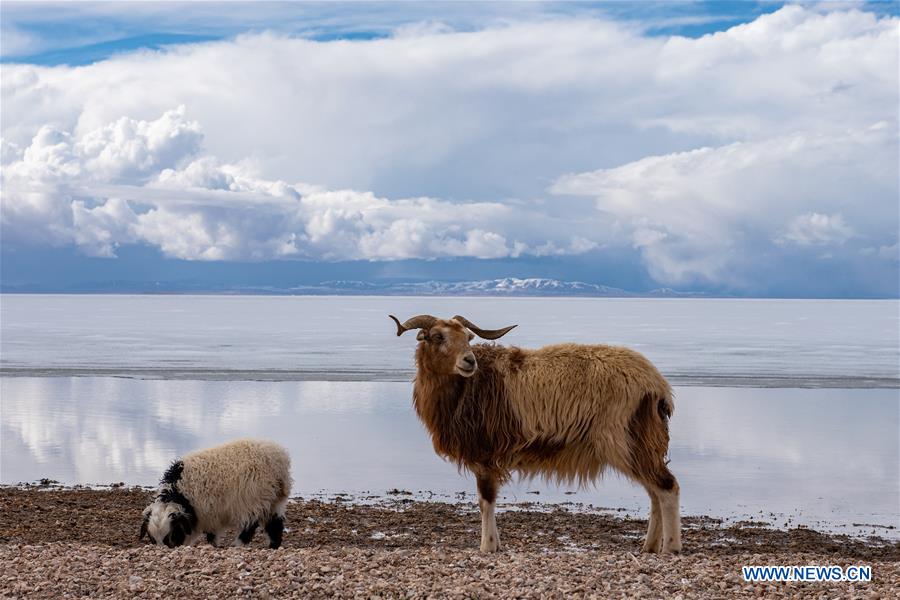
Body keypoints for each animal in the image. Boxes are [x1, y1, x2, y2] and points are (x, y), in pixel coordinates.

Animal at [390, 314, 680, 552]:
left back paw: (670, 548)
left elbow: (486, 501)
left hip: (626, 440)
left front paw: (487, 546)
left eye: (468, 338)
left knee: (667, 487)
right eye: (438, 337)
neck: (467, 388)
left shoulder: (485, 455)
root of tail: (658, 385)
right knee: (655, 493)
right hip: (642, 444)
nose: (469, 361)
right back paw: (649, 547)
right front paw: (496, 545)